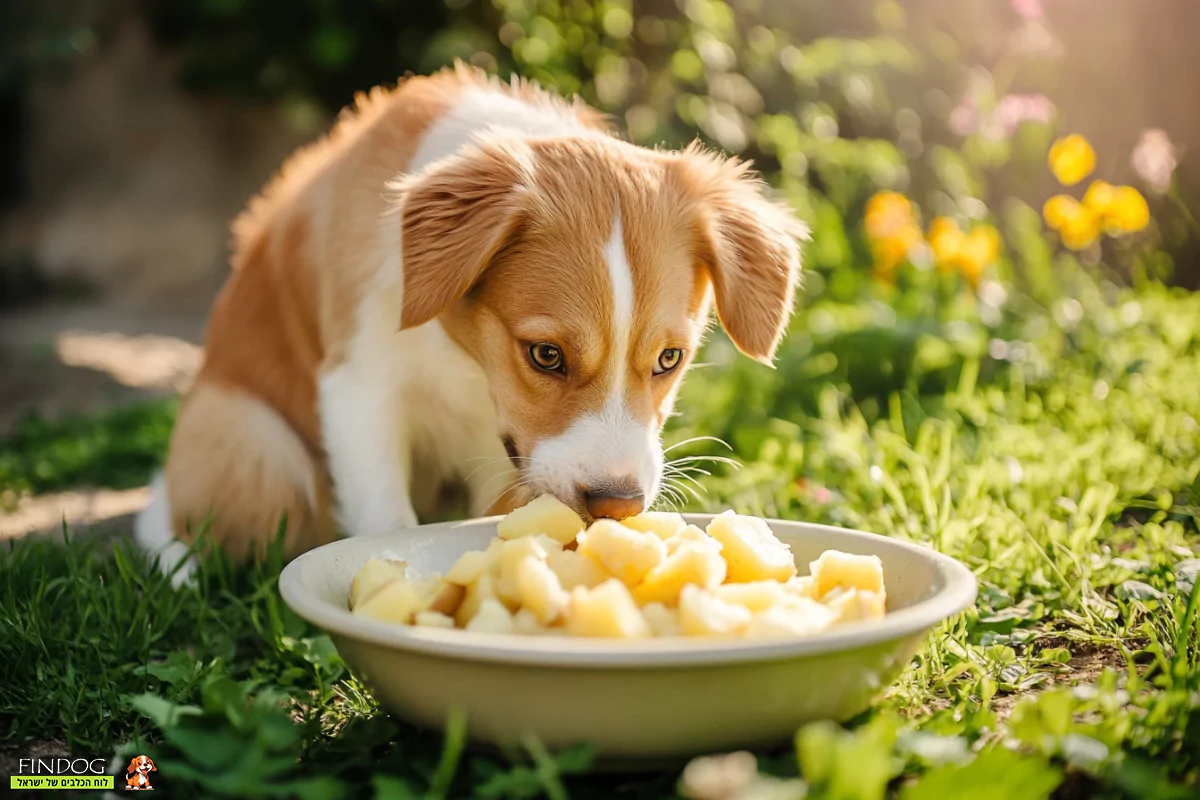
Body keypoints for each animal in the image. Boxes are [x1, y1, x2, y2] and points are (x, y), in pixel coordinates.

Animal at [131, 64, 806, 575]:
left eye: (670, 359)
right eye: (546, 355)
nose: (618, 505)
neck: (462, 358)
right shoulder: (358, 386)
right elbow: (384, 519)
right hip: (258, 452)